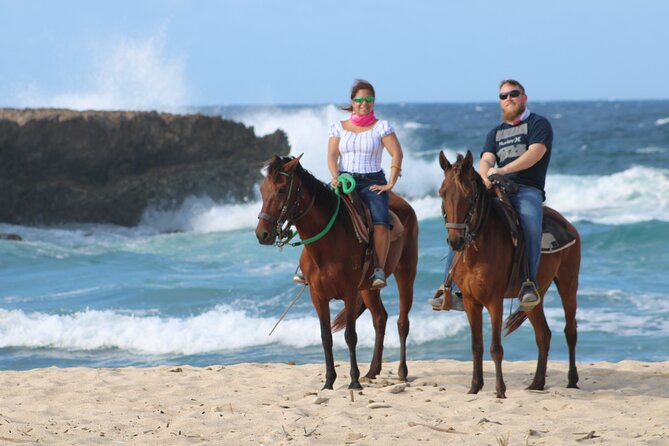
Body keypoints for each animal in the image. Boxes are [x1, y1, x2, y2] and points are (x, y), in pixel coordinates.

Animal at [256, 155, 418, 388]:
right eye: (262, 190)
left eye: (281, 189)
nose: (262, 234)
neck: (329, 242)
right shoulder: (317, 295)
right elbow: (326, 337)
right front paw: (329, 382)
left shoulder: (349, 293)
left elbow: (350, 335)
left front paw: (353, 381)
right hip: (368, 289)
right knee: (380, 318)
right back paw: (372, 370)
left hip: (406, 272)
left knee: (402, 322)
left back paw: (402, 372)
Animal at [438, 150, 580, 398]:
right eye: (442, 193)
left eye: (469, 195)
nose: (455, 241)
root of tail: (568, 225)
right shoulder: (471, 302)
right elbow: (476, 346)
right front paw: (474, 387)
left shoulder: (495, 301)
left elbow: (495, 348)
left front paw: (500, 391)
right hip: (535, 298)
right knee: (543, 335)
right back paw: (537, 383)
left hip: (568, 284)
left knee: (570, 331)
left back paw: (572, 380)